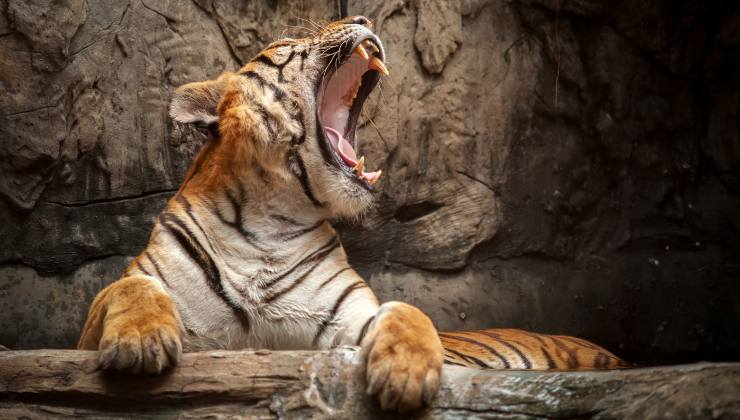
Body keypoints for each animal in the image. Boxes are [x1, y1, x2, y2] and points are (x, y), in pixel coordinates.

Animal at [78, 16, 627, 412]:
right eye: (287, 40)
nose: (363, 16)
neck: (268, 221)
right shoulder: (95, 326)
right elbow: (129, 287)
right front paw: (140, 343)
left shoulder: (348, 319)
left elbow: (405, 311)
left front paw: (405, 374)